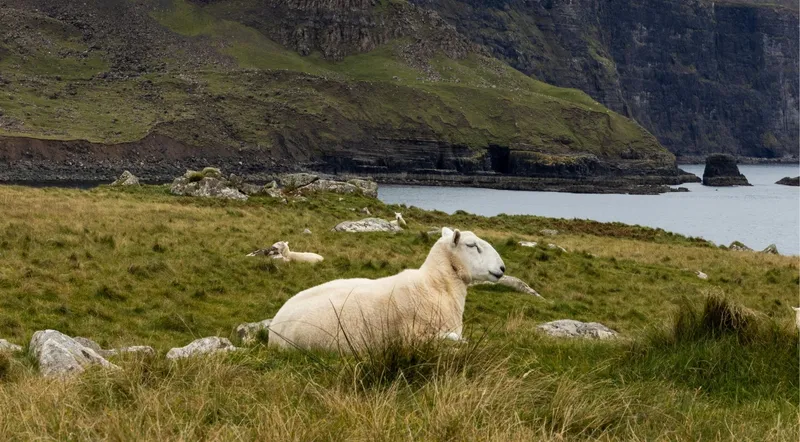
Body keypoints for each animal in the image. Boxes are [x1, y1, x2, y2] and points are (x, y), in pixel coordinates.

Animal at [268, 227, 506, 352]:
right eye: (472, 246)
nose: (503, 268)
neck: (435, 285)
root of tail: (273, 327)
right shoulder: (416, 338)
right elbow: (456, 340)